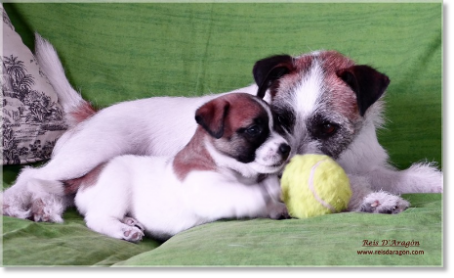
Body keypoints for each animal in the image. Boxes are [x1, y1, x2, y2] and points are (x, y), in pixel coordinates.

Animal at [2, 35, 444, 224]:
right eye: (281, 119)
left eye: (328, 126)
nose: (288, 177)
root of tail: (93, 115)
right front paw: (374, 200)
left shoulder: (370, 164)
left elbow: (404, 176)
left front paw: (425, 183)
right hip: (94, 150)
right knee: (32, 176)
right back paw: (23, 205)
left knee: (60, 187)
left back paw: (45, 208)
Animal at [65, 93, 290, 241]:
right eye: (254, 130)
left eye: (278, 126)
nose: (286, 148)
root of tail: (85, 179)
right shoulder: (208, 191)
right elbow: (248, 193)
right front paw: (272, 189)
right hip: (115, 189)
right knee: (97, 218)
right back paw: (124, 231)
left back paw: (130, 221)